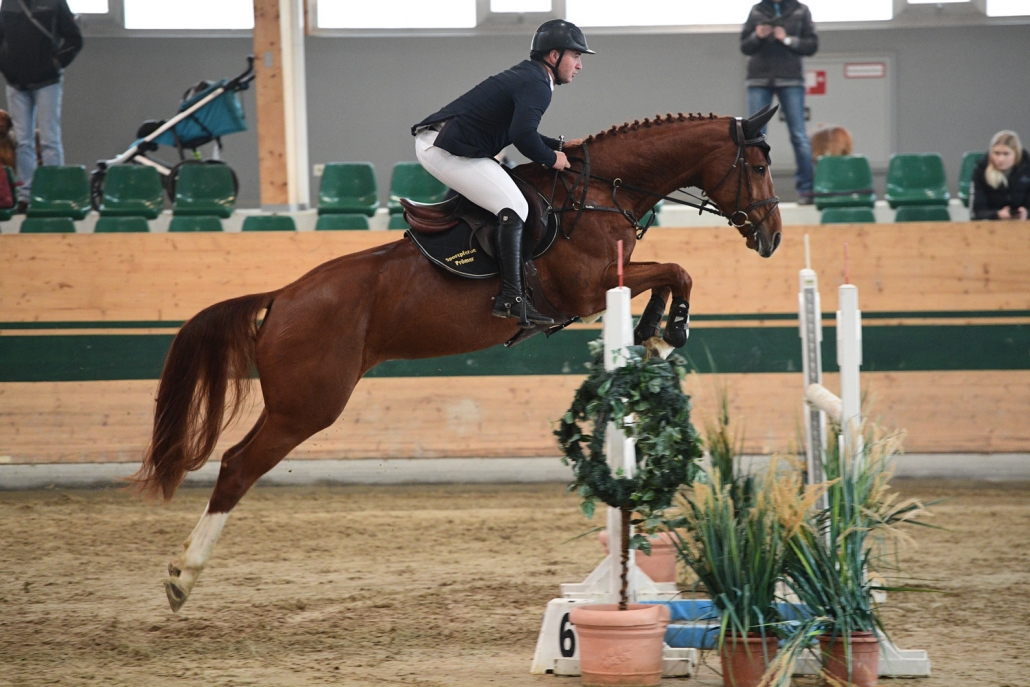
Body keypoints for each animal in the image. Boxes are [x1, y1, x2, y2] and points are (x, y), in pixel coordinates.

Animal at [134, 105, 782, 612]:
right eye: (756, 166)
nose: (772, 237)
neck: (601, 194)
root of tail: (281, 297)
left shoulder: (608, 284)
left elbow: (671, 273)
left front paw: (651, 331)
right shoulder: (590, 287)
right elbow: (678, 270)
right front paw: (668, 329)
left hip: (295, 402)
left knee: (236, 461)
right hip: (308, 406)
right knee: (238, 466)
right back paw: (182, 578)